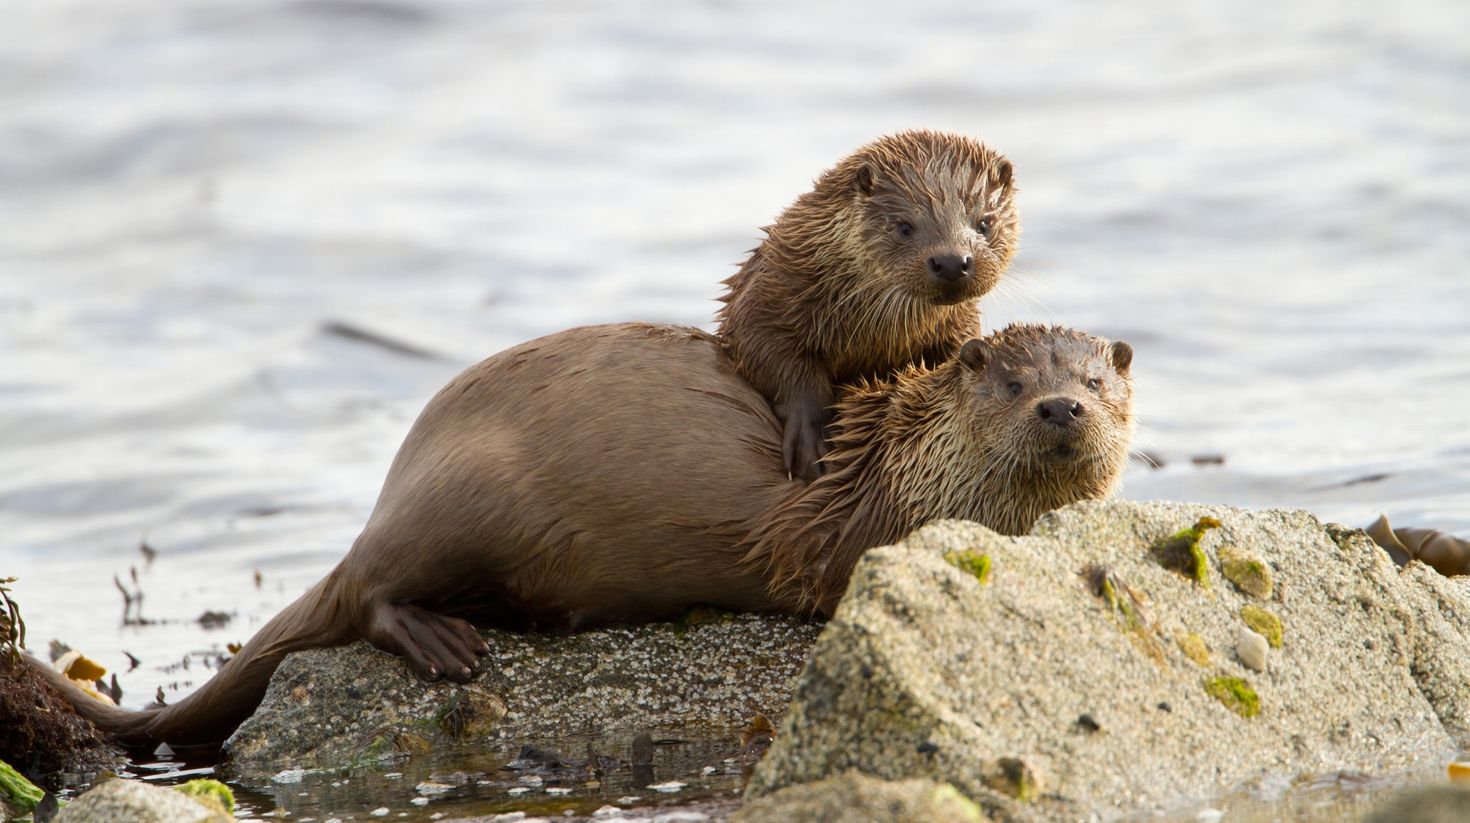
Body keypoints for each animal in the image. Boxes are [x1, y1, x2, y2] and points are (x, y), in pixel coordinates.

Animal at [32, 322, 1132, 747]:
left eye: (1096, 377)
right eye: (1011, 380)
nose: (1062, 407)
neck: (894, 463)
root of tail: (395, 487)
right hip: (462, 498)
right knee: (371, 591)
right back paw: (445, 641)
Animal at [718, 130, 1020, 481]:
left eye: (984, 222)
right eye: (904, 226)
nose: (951, 262)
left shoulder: (957, 325)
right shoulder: (765, 298)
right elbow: (773, 358)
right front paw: (809, 438)